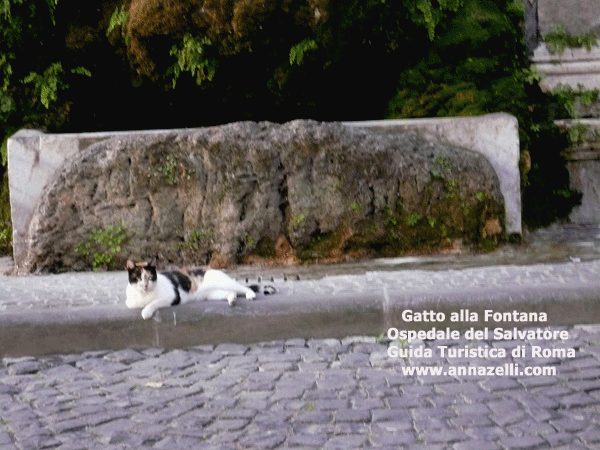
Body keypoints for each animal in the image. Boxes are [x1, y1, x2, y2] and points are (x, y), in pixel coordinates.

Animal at [127, 258, 276, 318]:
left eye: (150, 277)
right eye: (138, 278)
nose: (145, 285)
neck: (145, 295)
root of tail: (209, 268)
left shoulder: (173, 296)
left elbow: (154, 303)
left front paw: (146, 312)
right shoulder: (130, 302)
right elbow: (136, 304)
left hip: (224, 282)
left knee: (242, 288)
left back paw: (250, 294)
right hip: (213, 293)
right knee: (231, 292)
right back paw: (232, 300)